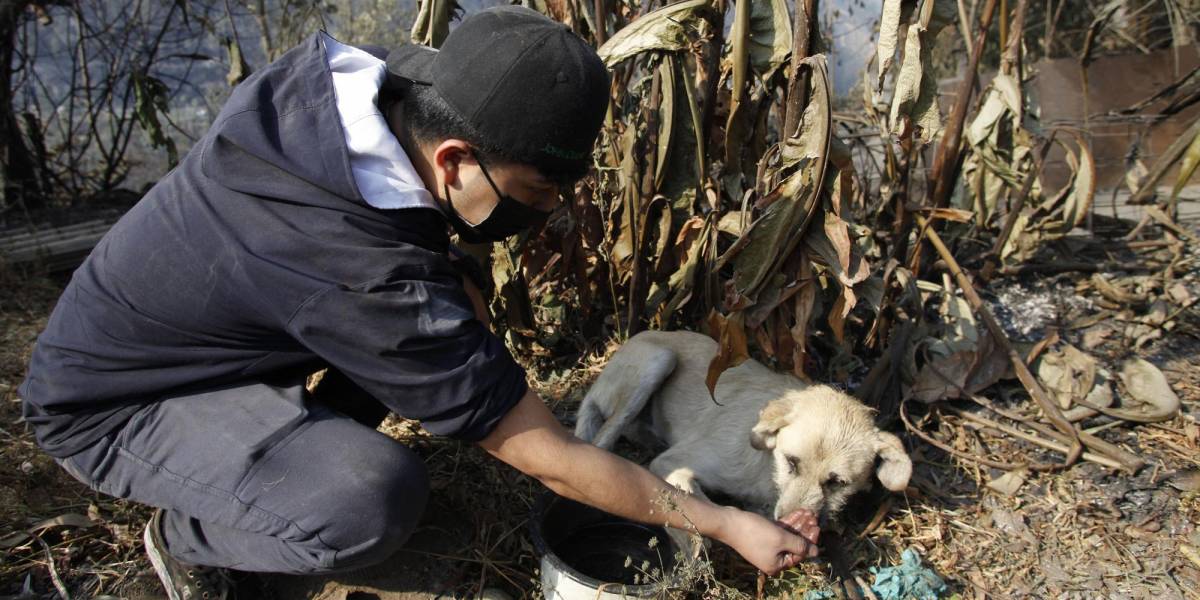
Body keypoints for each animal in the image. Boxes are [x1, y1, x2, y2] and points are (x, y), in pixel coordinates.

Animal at [576, 328, 912, 525]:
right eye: (791, 462)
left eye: (838, 482)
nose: (788, 525)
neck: (767, 468)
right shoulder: (671, 463)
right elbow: (712, 507)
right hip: (659, 360)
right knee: (601, 439)